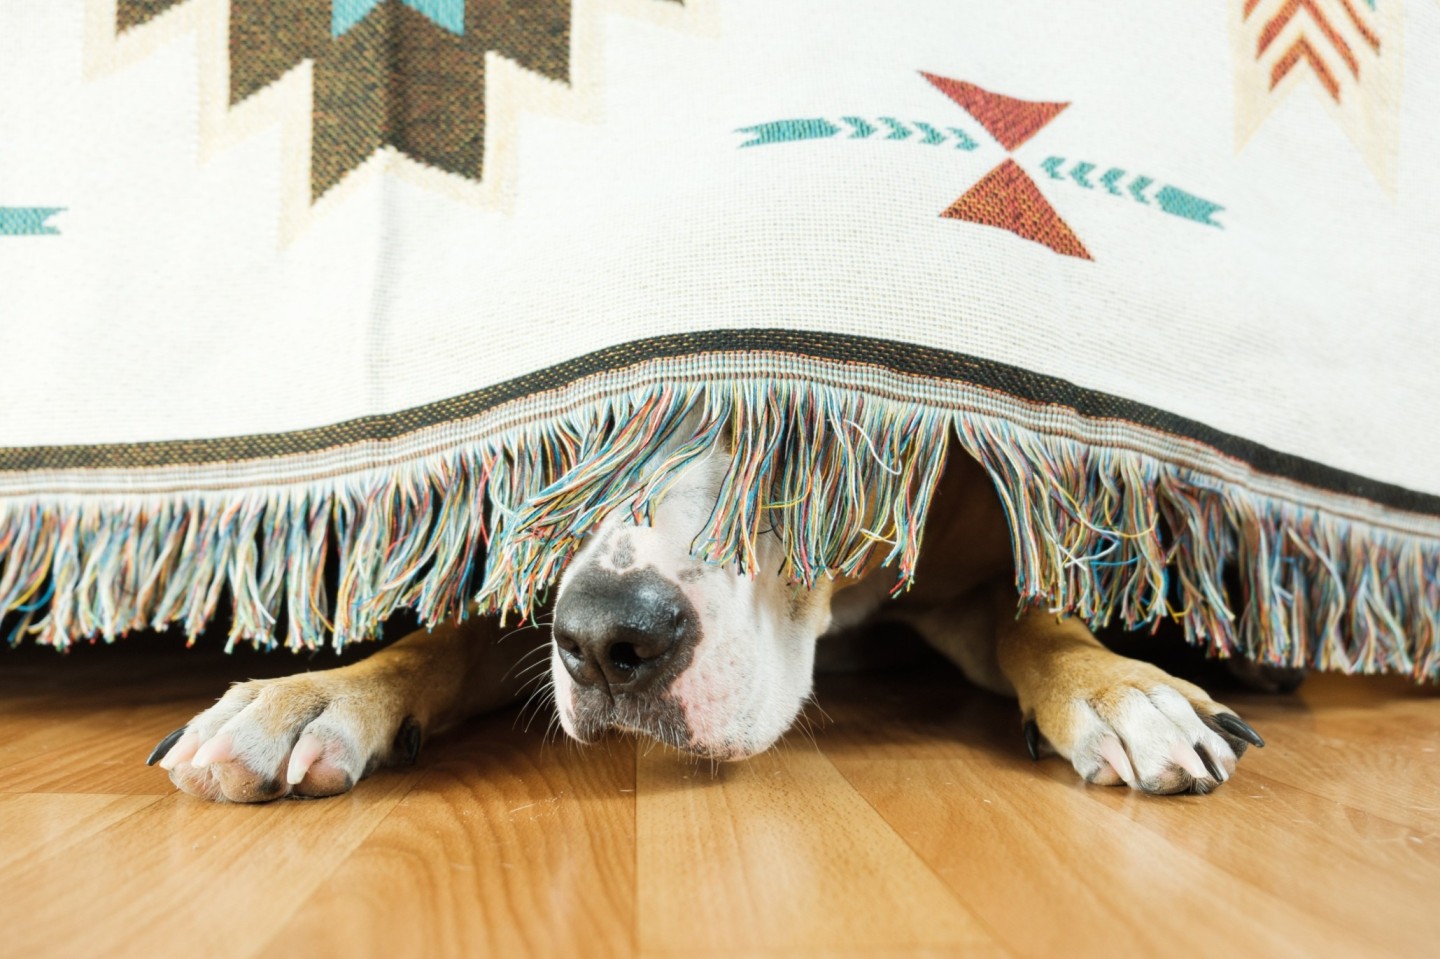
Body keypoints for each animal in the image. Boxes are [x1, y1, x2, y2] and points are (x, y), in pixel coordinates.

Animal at [146, 443, 1267, 800]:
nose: (608, 641)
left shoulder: (969, 571)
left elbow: (1043, 619)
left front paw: (1123, 690)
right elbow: (443, 639)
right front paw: (308, 698)